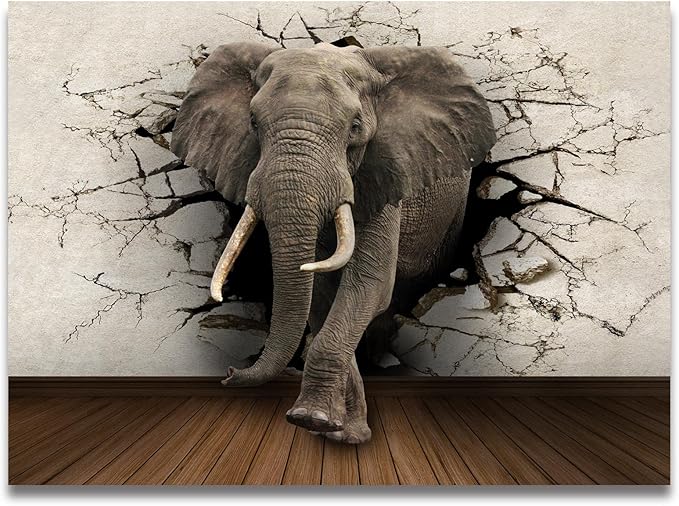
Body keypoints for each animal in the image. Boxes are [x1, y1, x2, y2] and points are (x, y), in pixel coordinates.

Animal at [170, 41, 496, 444]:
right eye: (253, 123)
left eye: (355, 127)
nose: (229, 374)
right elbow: (322, 294)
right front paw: (336, 430)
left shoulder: (383, 175)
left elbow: (370, 285)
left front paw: (315, 420)